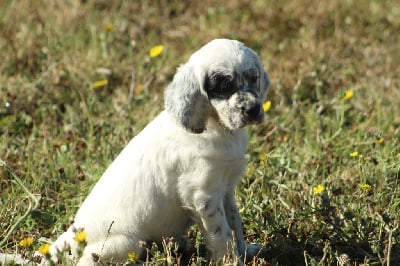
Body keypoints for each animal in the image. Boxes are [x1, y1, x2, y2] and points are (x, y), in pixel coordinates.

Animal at [50, 38, 270, 264]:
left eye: (253, 78)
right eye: (224, 85)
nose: (253, 110)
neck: (217, 128)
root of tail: (71, 236)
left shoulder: (226, 188)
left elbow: (235, 222)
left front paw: (246, 251)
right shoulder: (204, 196)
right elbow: (222, 234)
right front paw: (231, 260)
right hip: (126, 243)